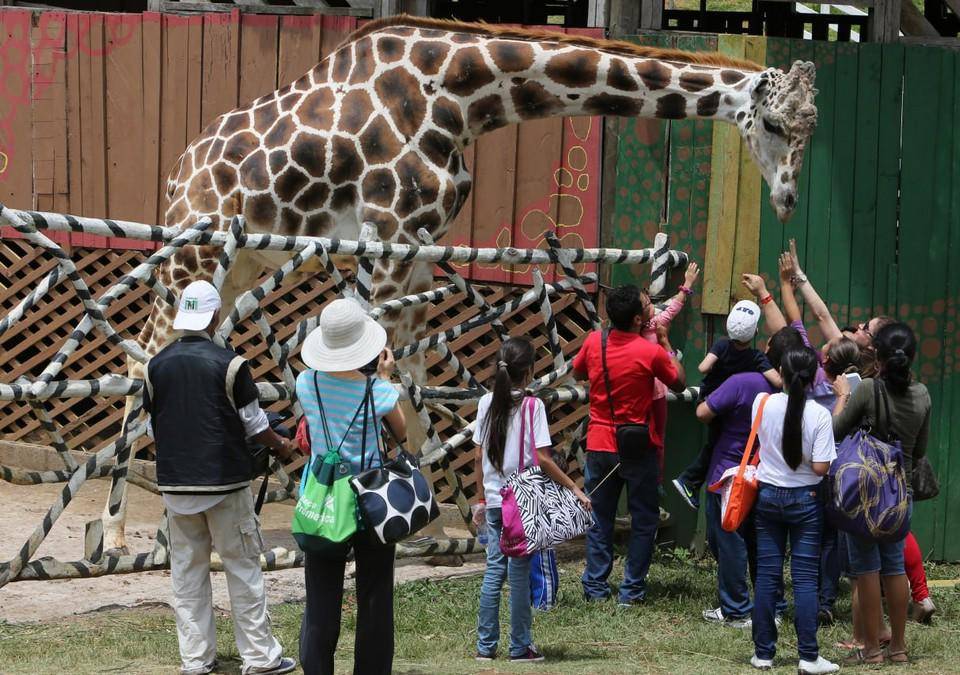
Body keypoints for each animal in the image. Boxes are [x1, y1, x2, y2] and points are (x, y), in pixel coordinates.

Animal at [99, 15, 816, 556]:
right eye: (773, 124)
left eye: (810, 125)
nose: (786, 200)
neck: (461, 96)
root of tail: (179, 172)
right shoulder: (387, 238)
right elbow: (378, 374)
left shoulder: (419, 245)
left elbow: (413, 382)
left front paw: (428, 524)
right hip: (193, 252)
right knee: (142, 357)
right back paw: (112, 534)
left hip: (240, 260)